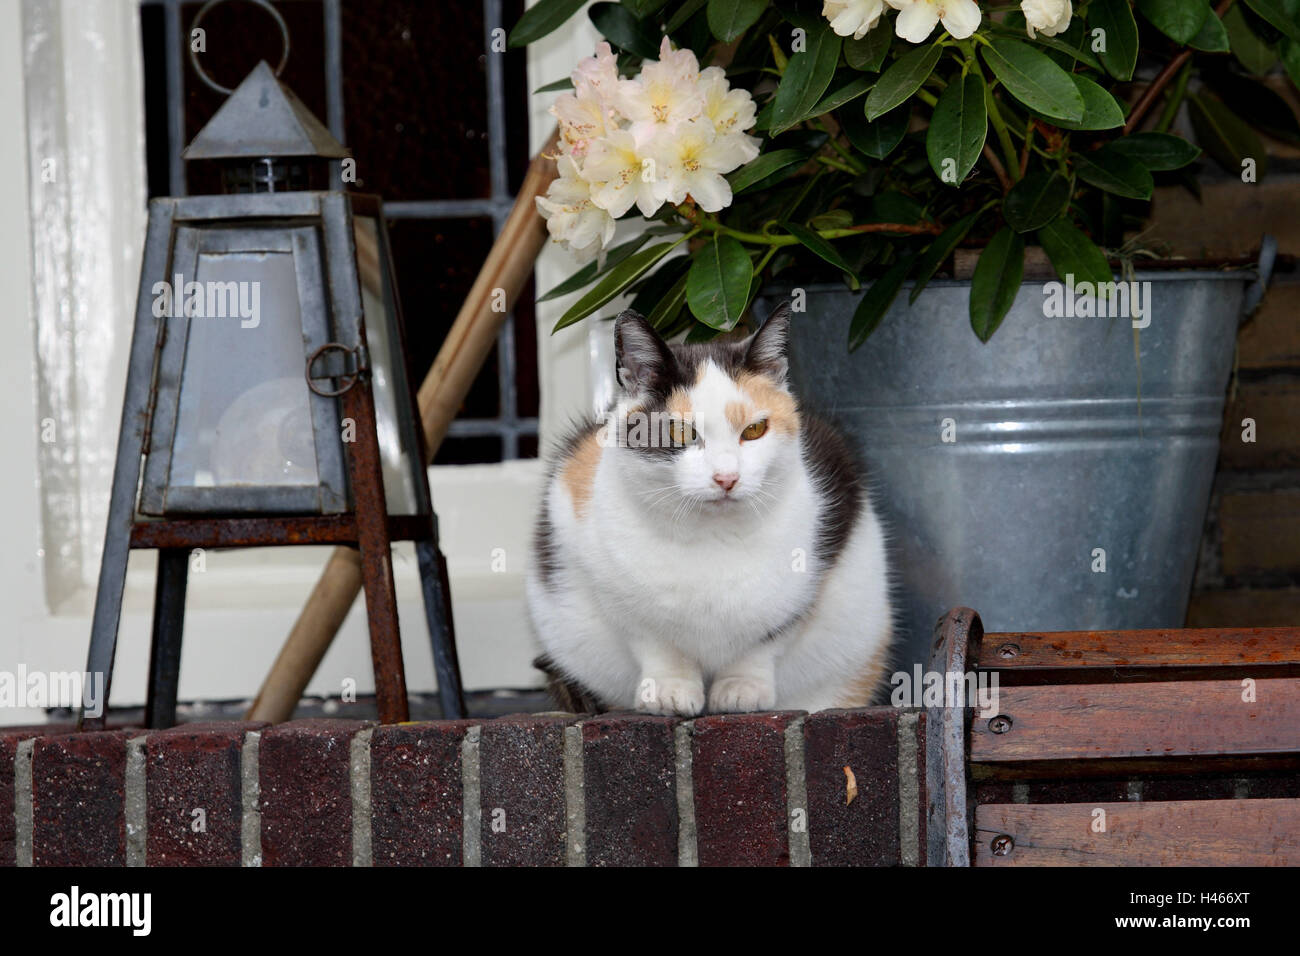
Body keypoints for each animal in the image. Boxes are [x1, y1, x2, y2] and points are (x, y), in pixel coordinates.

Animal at [522, 303, 889, 712]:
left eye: (755, 430)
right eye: (680, 432)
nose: (727, 477)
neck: (711, 536)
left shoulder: (807, 580)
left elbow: (765, 641)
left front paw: (741, 688)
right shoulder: (611, 587)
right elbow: (657, 644)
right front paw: (669, 691)